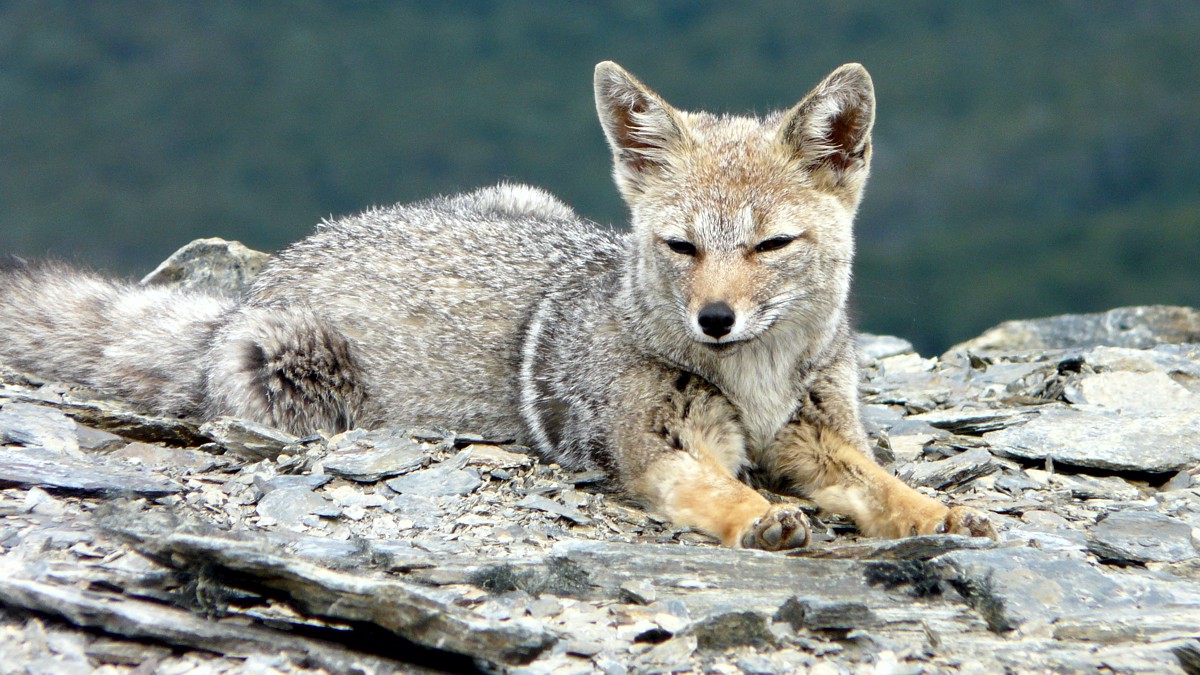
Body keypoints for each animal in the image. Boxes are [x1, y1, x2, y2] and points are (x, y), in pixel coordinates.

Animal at [0, 62, 993, 549]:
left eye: (769, 246)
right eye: (682, 247)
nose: (714, 319)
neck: (752, 380)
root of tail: (287, 261)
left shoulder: (817, 436)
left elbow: (879, 484)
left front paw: (935, 512)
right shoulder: (655, 448)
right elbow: (712, 486)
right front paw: (755, 513)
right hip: (295, 377)